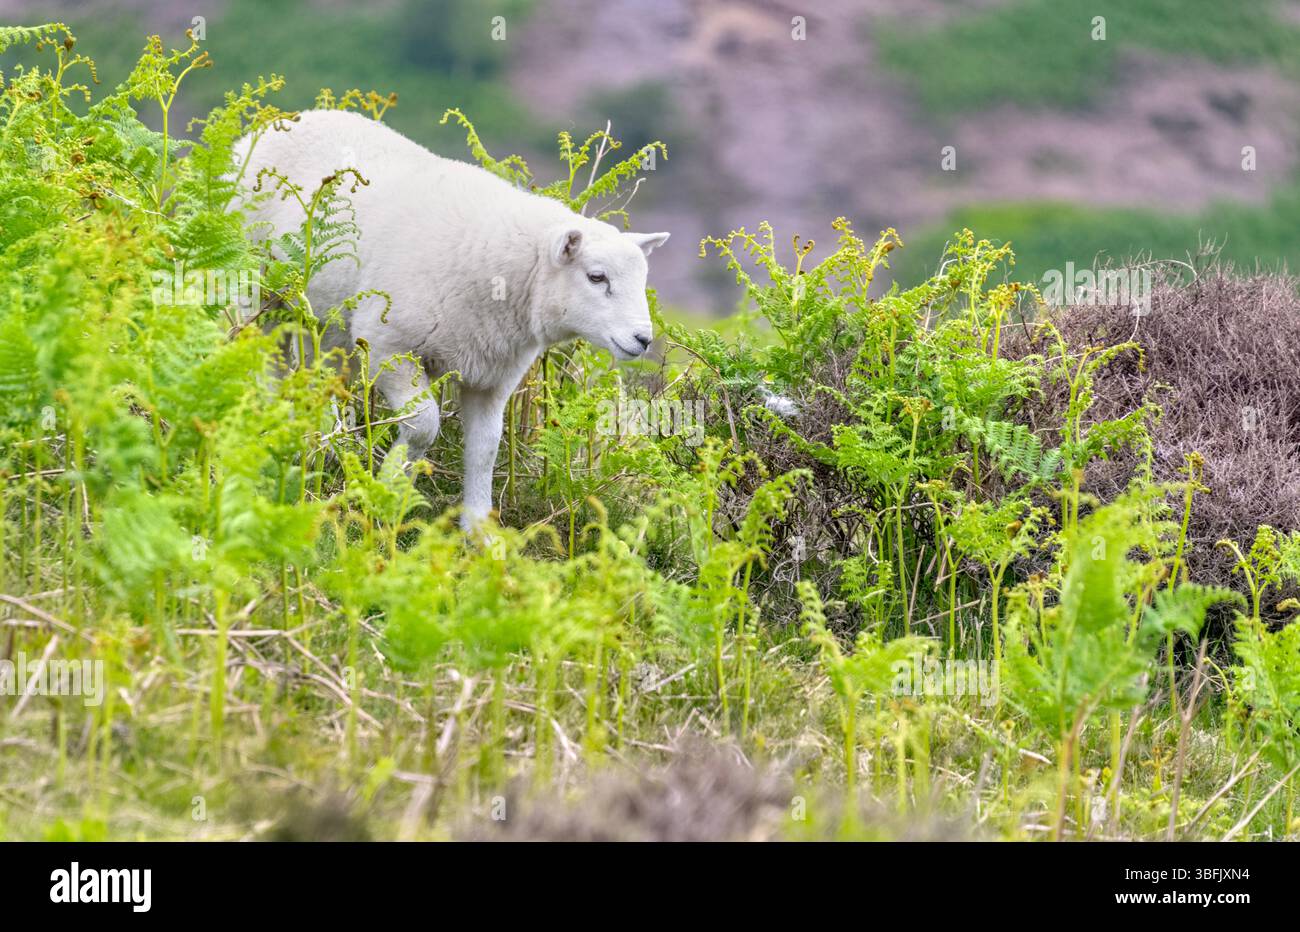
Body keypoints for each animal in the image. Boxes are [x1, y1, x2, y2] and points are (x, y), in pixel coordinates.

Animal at [234, 110, 669, 529]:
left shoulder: (493, 376)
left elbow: (485, 448)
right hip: (255, 289)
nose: (642, 339)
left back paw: (327, 440)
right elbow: (424, 424)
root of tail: (294, 117)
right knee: (260, 356)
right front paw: (391, 487)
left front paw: (479, 529)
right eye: (597, 277)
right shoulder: (388, 344)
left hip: (325, 321)